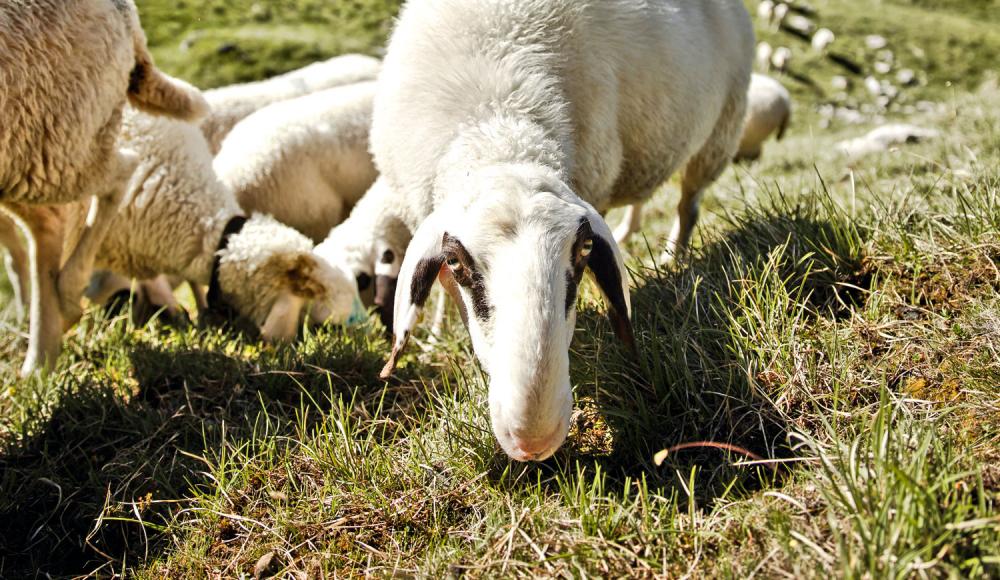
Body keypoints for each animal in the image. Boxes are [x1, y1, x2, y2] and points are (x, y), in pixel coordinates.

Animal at [0, 0, 207, 374]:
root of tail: (127, 13)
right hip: (24, 146)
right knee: (48, 223)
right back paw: (40, 362)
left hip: (55, 133)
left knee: (121, 173)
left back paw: (65, 302)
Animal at [364, 0, 752, 462]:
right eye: (455, 261)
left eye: (584, 248)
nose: (533, 441)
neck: (499, 122)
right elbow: (441, 294)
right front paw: (438, 333)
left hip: (719, 133)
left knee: (687, 205)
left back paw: (674, 255)